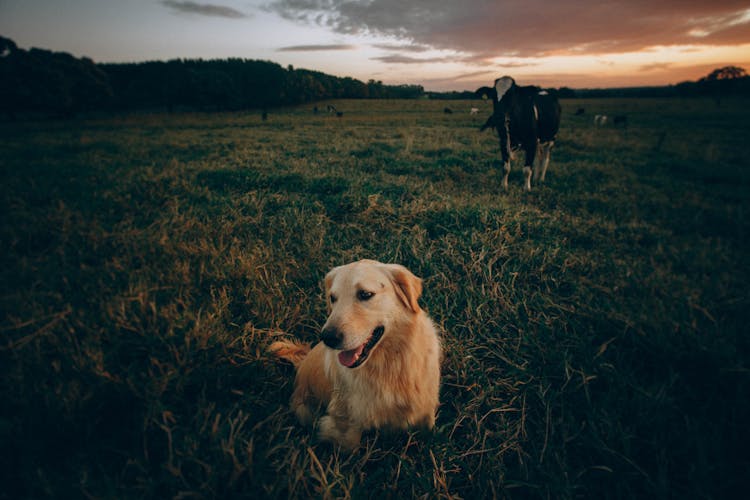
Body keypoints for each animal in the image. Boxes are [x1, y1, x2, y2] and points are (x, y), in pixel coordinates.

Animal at [270, 260, 444, 452]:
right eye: (333, 298)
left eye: (365, 294)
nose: (328, 338)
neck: (391, 364)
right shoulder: (345, 421)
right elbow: (350, 450)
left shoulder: (425, 409)